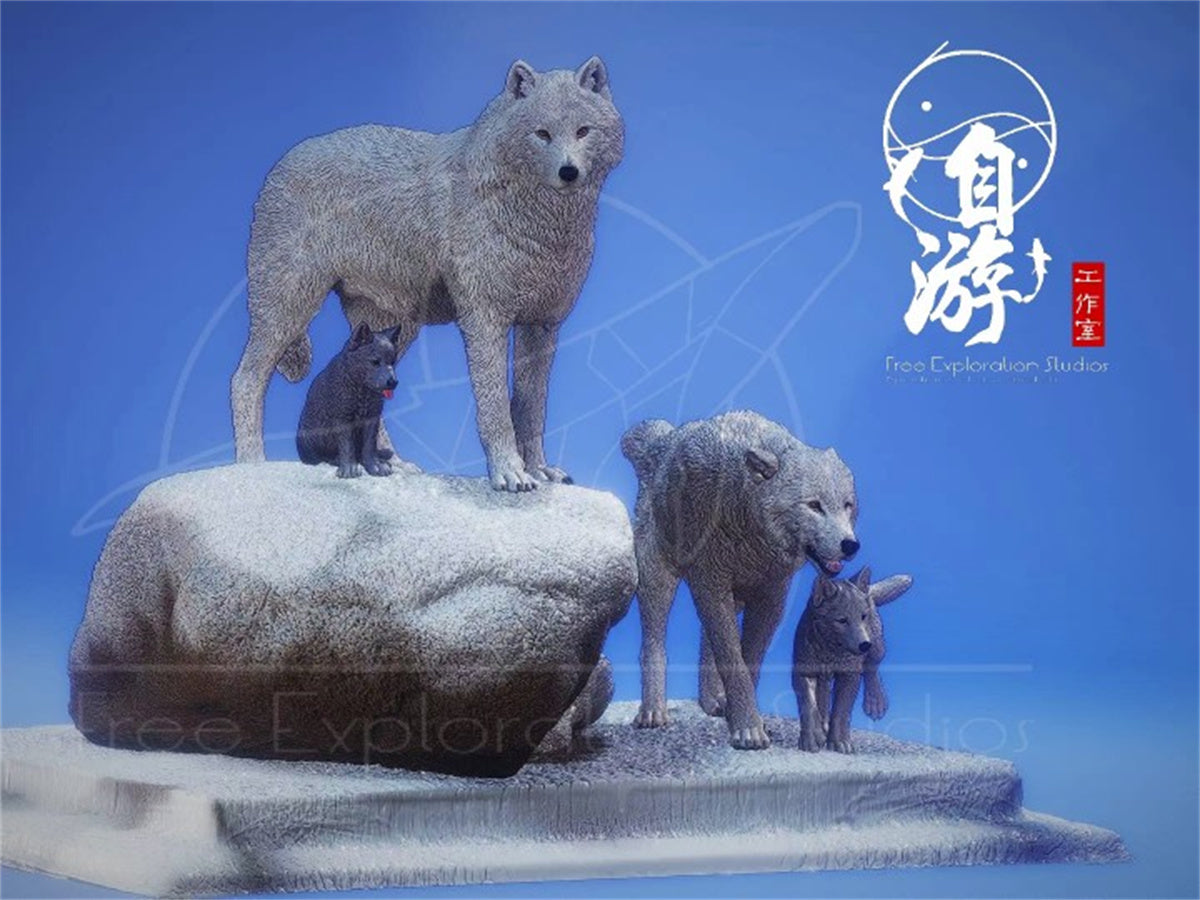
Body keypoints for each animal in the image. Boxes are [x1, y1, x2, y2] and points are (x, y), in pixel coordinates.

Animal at [296, 322, 402, 479]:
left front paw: (375, 466)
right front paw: (349, 470)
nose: (393, 382)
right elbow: (347, 445)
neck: (362, 391)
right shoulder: (343, 418)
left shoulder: (372, 417)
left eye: (393, 362)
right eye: (375, 362)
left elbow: (369, 445)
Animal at [622, 411, 860, 750]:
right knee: (654, 642)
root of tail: (661, 438)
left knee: (705, 640)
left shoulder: (771, 596)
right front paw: (748, 729)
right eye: (814, 505)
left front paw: (743, 719)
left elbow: (749, 660)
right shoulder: (711, 584)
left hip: (733, 596)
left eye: (847, 505)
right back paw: (653, 712)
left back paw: (713, 702)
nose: (851, 545)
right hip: (660, 580)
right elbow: (733, 659)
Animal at [792, 567, 913, 753]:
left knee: (872, 668)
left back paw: (875, 702)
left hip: (878, 646)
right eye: (841, 620)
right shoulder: (804, 672)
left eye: (863, 616)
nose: (865, 645)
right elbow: (808, 704)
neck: (830, 652)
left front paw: (839, 742)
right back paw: (823, 724)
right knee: (823, 694)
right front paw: (812, 738)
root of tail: (868, 590)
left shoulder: (850, 675)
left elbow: (841, 711)